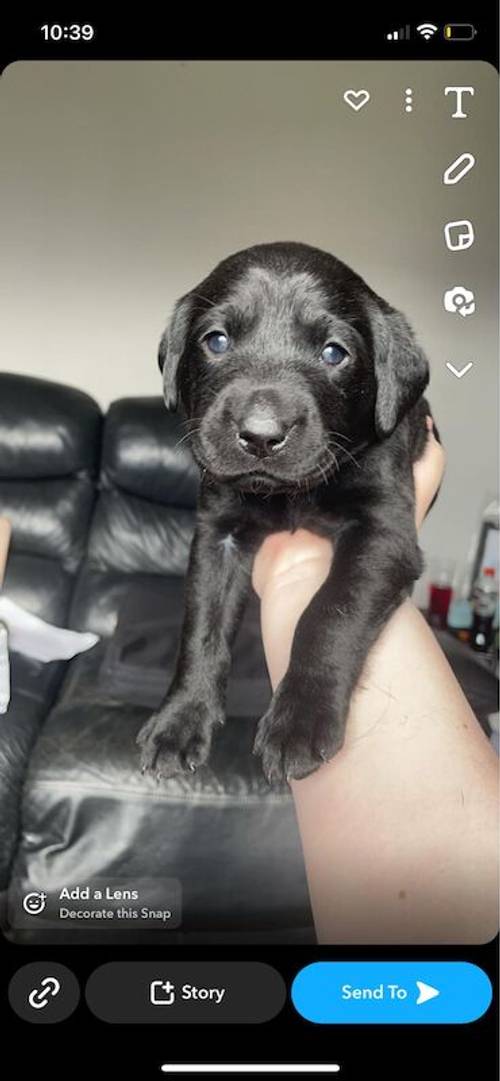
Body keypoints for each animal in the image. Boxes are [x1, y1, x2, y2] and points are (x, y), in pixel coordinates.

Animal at [138, 243, 434, 786]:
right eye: (216, 341)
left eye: (334, 353)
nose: (260, 435)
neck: (288, 495)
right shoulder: (217, 535)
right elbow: (202, 627)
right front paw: (179, 720)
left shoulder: (384, 531)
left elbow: (332, 611)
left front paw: (300, 720)